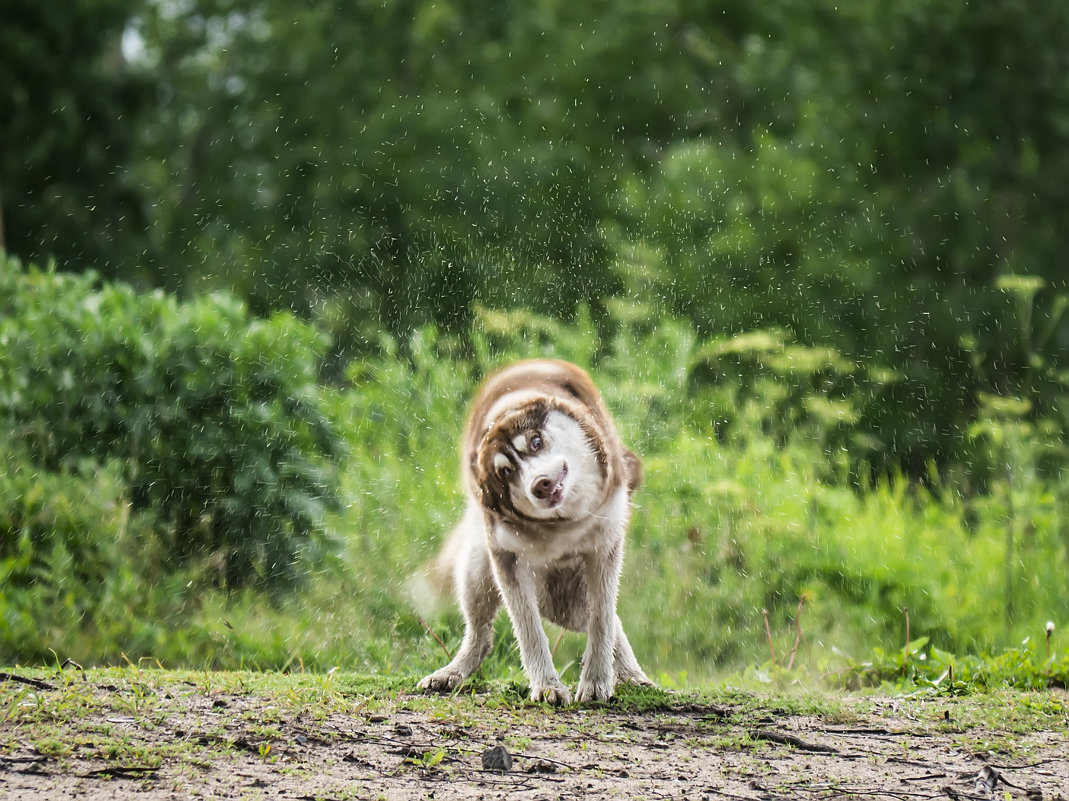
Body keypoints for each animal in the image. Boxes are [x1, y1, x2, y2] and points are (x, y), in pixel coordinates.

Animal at [416, 359, 649, 701]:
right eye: (506, 471)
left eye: (536, 441)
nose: (541, 484)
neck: (563, 525)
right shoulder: (506, 557)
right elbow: (528, 629)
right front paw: (546, 686)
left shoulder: (604, 545)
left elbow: (603, 619)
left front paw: (596, 682)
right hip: (481, 568)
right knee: (481, 635)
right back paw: (452, 672)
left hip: (568, 597)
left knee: (598, 617)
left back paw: (632, 676)